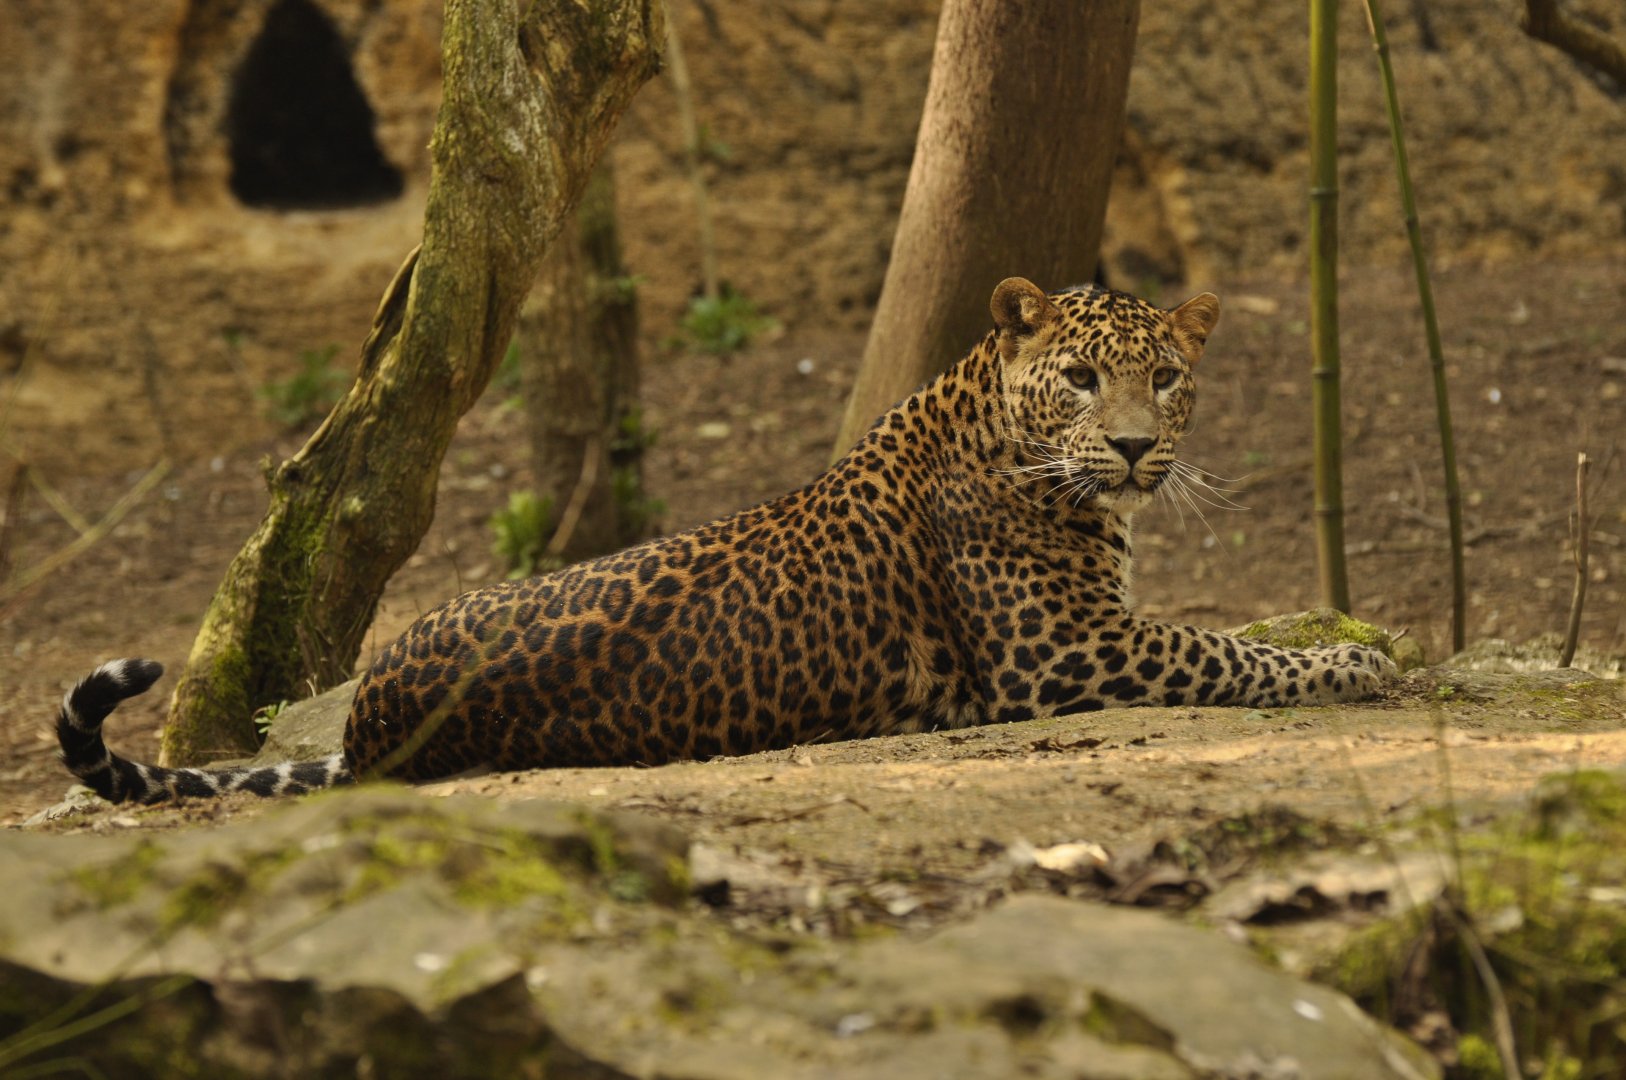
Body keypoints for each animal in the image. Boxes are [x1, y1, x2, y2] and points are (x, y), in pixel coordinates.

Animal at [57, 277, 1395, 805]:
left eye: (1166, 377)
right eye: (1078, 377)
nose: (1130, 449)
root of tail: (380, 707)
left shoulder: (1100, 632)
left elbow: (1239, 628)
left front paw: (1347, 628)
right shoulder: (1067, 653)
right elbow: (1228, 652)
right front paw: (1356, 660)